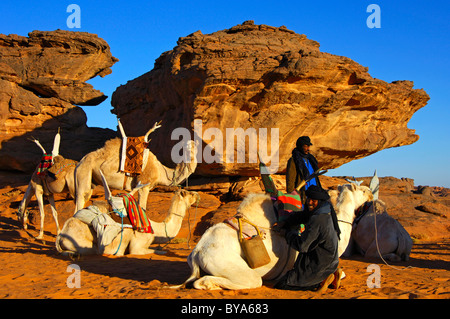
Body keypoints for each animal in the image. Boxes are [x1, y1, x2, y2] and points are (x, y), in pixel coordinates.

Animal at [55, 170, 200, 258]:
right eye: (189, 193)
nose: (197, 194)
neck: (156, 229)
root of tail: (61, 234)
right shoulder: (138, 245)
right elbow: (156, 250)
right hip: (85, 244)